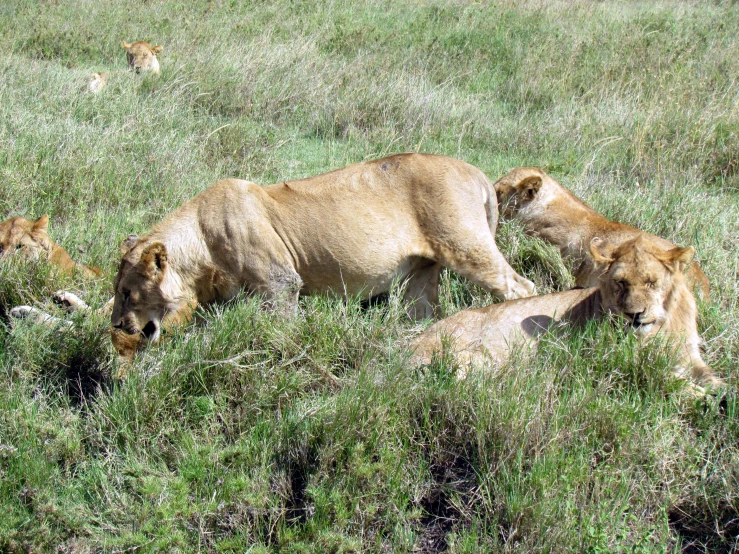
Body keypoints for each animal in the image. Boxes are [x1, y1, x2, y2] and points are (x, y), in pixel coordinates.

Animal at [111, 152, 536, 354]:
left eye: (127, 293)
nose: (117, 326)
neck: (199, 240)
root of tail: (477, 173)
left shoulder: (279, 282)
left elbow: (280, 330)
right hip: (423, 273)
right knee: (425, 313)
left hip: (465, 245)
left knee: (521, 288)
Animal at [414, 233, 724, 388]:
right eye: (620, 282)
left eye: (651, 282)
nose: (634, 315)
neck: (661, 327)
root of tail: (409, 345)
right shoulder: (621, 361)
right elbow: (672, 382)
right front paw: (705, 400)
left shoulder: (688, 356)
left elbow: (710, 377)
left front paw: (723, 395)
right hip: (471, 357)